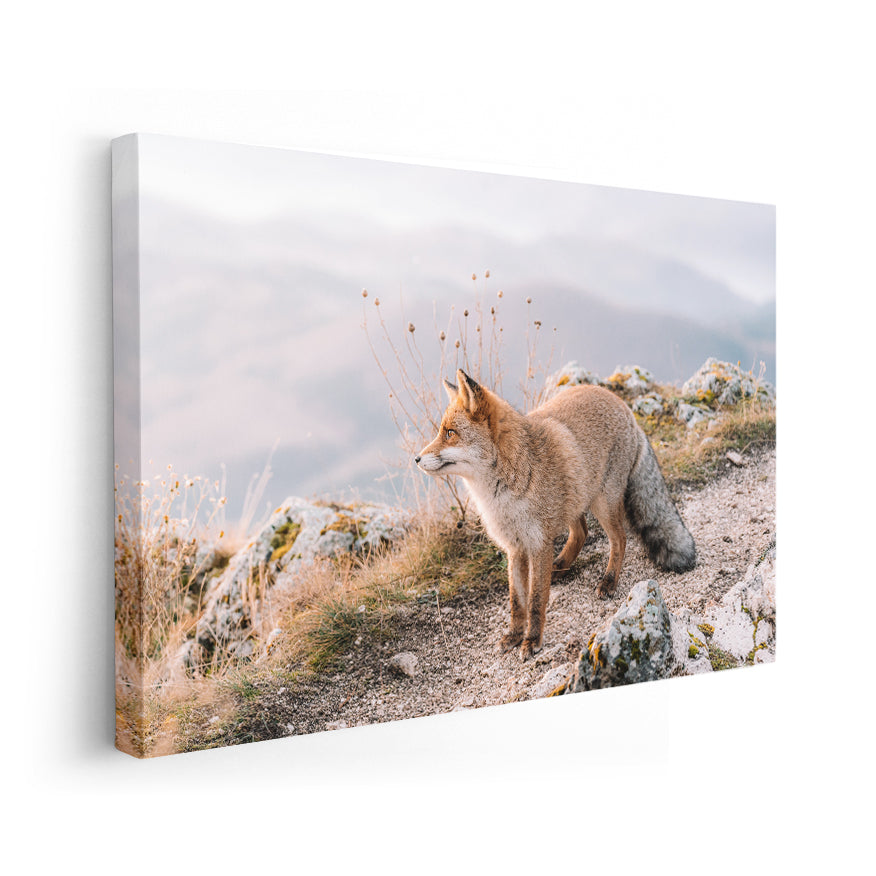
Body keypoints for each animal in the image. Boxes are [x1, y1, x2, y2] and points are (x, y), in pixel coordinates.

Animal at [416, 369, 696, 660]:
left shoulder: (538, 544)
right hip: (575, 498)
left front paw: (532, 640)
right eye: (442, 432)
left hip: (603, 503)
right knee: (581, 532)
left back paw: (608, 581)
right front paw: (514, 635)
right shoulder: (515, 548)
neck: (503, 494)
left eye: (450, 433)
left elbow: (536, 600)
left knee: (619, 539)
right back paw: (560, 566)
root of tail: (623, 405)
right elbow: (517, 602)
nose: (416, 459)